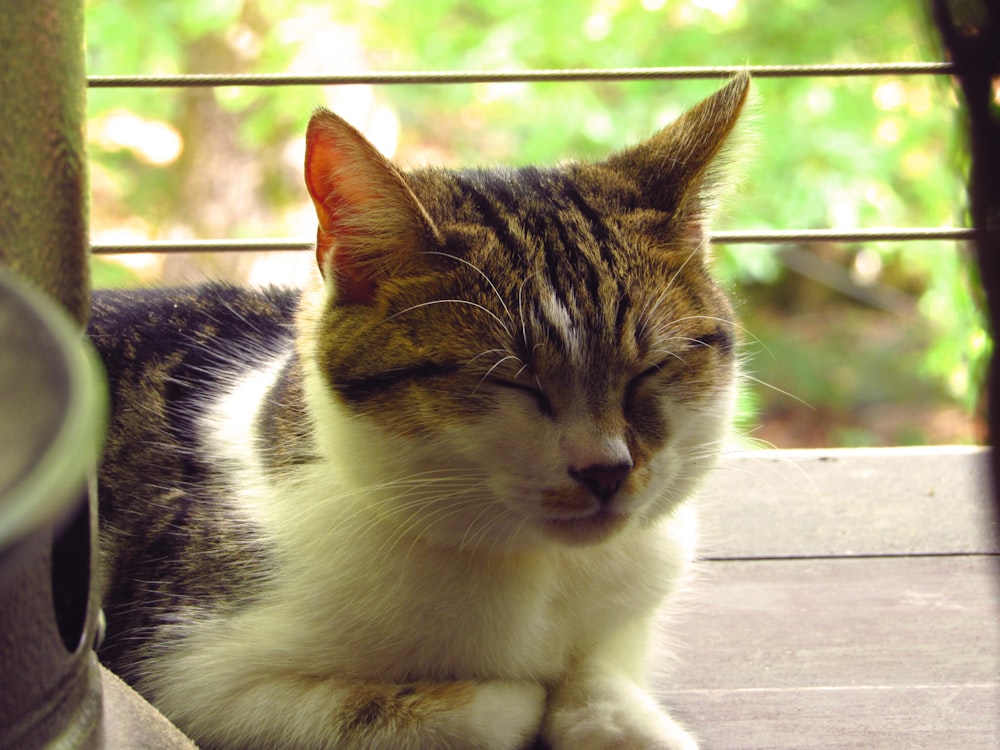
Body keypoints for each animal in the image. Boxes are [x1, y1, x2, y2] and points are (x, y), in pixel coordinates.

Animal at [90, 72, 752, 750]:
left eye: (651, 368)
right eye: (508, 379)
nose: (605, 470)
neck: (538, 572)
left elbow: (599, 676)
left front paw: (619, 715)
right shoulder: (191, 673)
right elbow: (403, 711)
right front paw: (516, 696)